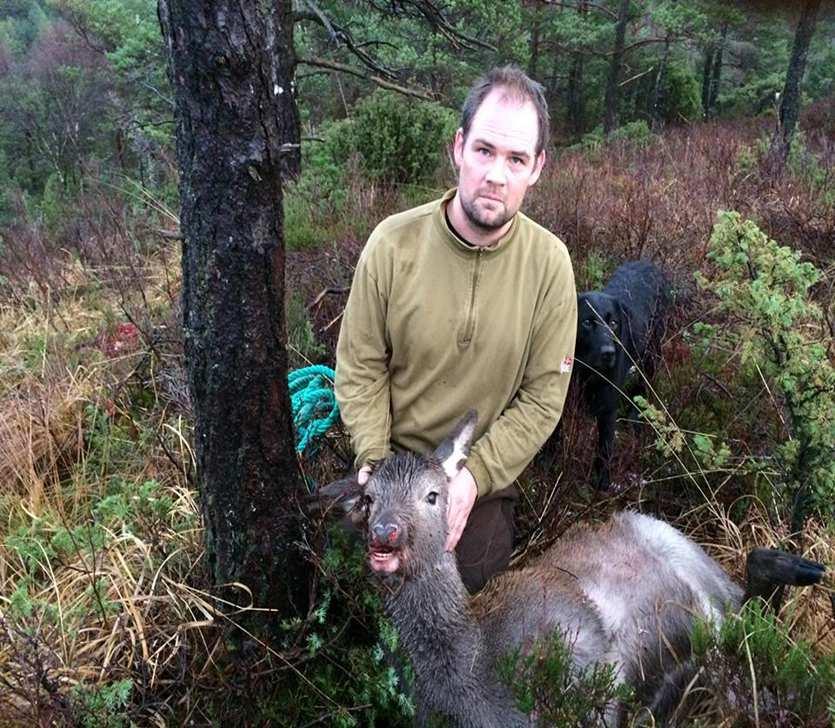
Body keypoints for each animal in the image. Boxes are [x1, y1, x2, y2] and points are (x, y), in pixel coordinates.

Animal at [580, 262, 668, 490]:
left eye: (613, 323)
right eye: (587, 323)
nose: (608, 353)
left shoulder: (608, 408)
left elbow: (605, 449)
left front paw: (603, 485)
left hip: (652, 354)